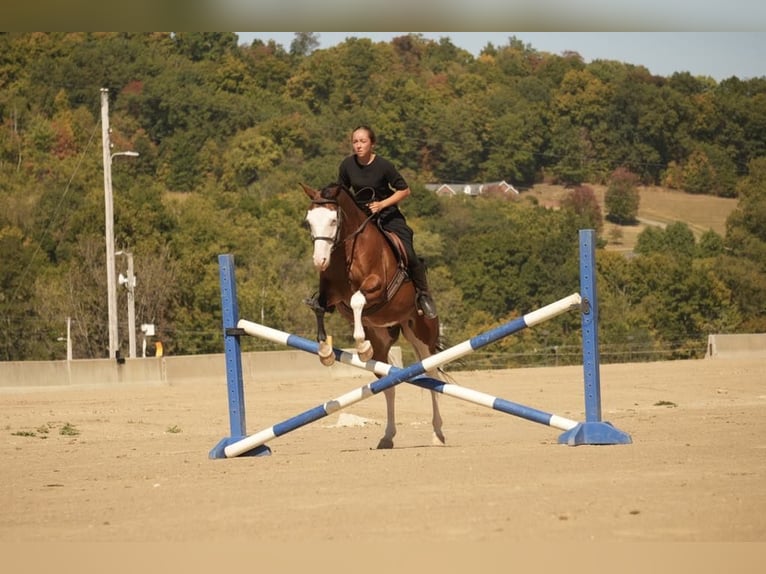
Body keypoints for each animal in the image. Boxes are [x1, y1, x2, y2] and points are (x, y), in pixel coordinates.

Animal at [302, 183, 448, 450]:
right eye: (309, 221)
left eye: (333, 220)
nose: (320, 261)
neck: (347, 251)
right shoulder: (330, 296)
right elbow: (319, 308)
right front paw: (325, 352)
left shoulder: (376, 287)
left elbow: (357, 300)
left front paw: (361, 345)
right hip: (383, 339)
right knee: (387, 385)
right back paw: (387, 436)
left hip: (423, 335)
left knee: (432, 375)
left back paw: (437, 433)